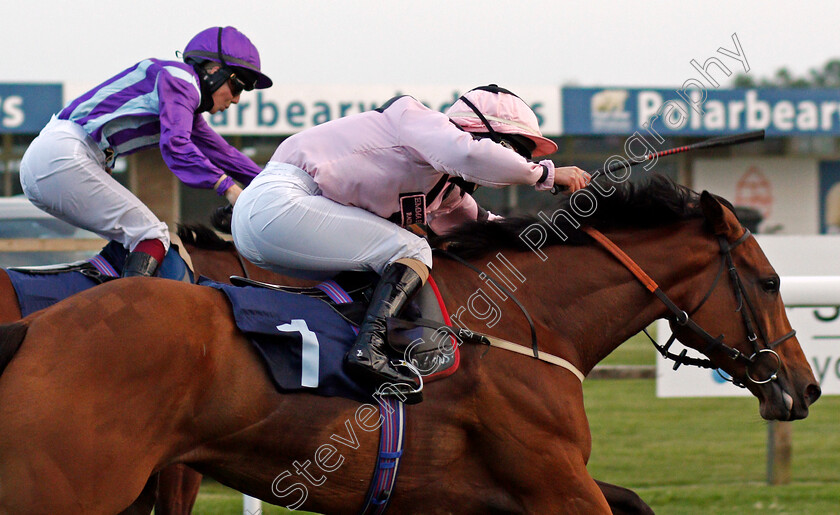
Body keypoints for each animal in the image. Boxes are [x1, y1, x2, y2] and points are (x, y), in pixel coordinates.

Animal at [0, 176, 820, 512]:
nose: (807, 386)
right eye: (770, 278)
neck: (522, 324)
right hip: (69, 486)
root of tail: (35, 329)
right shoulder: (555, 482)